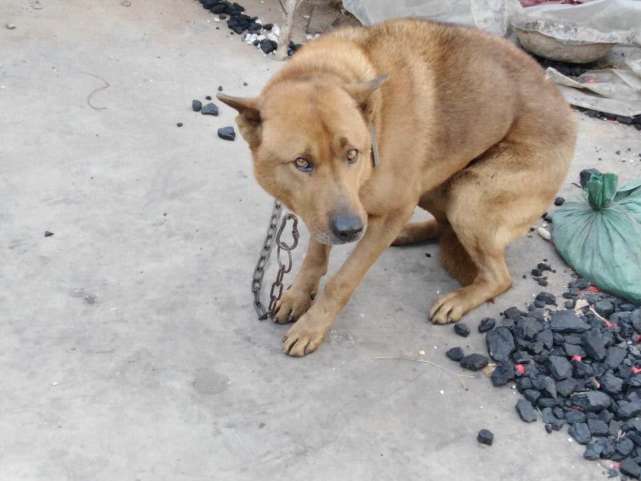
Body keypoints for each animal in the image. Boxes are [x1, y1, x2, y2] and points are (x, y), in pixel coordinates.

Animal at [219, 18, 576, 356]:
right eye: (302, 163)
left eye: (352, 154)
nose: (351, 230)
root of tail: (567, 115)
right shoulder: (324, 214)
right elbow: (314, 257)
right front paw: (297, 295)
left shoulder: (386, 209)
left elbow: (342, 281)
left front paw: (312, 327)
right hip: (437, 186)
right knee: (443, 224)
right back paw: (407, 234)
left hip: (468, 198)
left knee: (499, 276)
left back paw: (458, 299)